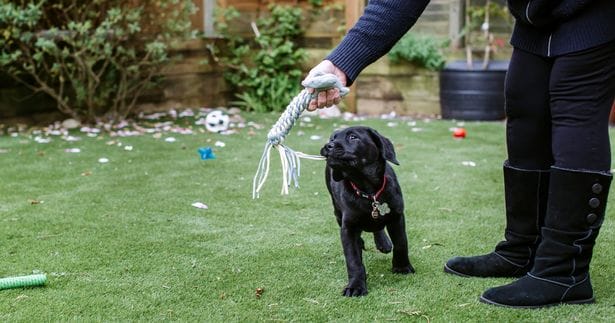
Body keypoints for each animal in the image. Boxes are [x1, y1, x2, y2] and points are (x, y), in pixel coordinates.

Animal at [320, 125, 416, 298]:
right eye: (332, 138)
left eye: (353, 137)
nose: (327, 146)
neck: (368, 192)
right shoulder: (348, 227)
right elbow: (353, 260)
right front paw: (355, 286)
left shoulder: (397, 217)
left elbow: (401, 243)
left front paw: (402, 267)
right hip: (337, 211)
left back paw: (383, 242)